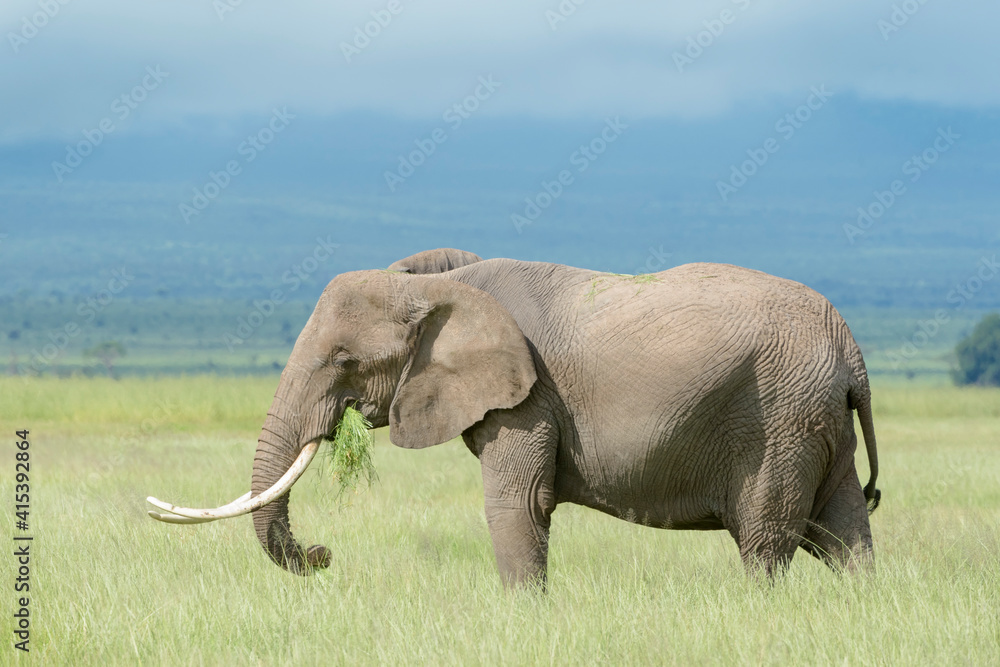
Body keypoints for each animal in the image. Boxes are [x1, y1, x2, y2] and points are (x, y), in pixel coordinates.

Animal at [148, 259, 880, 587]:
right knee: (843, 533)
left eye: (343, 360)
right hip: (816, 422)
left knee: (767, 541)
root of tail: (852, 352)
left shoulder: (527, 399)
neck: (442, 283)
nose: (325, 553)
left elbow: (518, 503)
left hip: (779, 419)